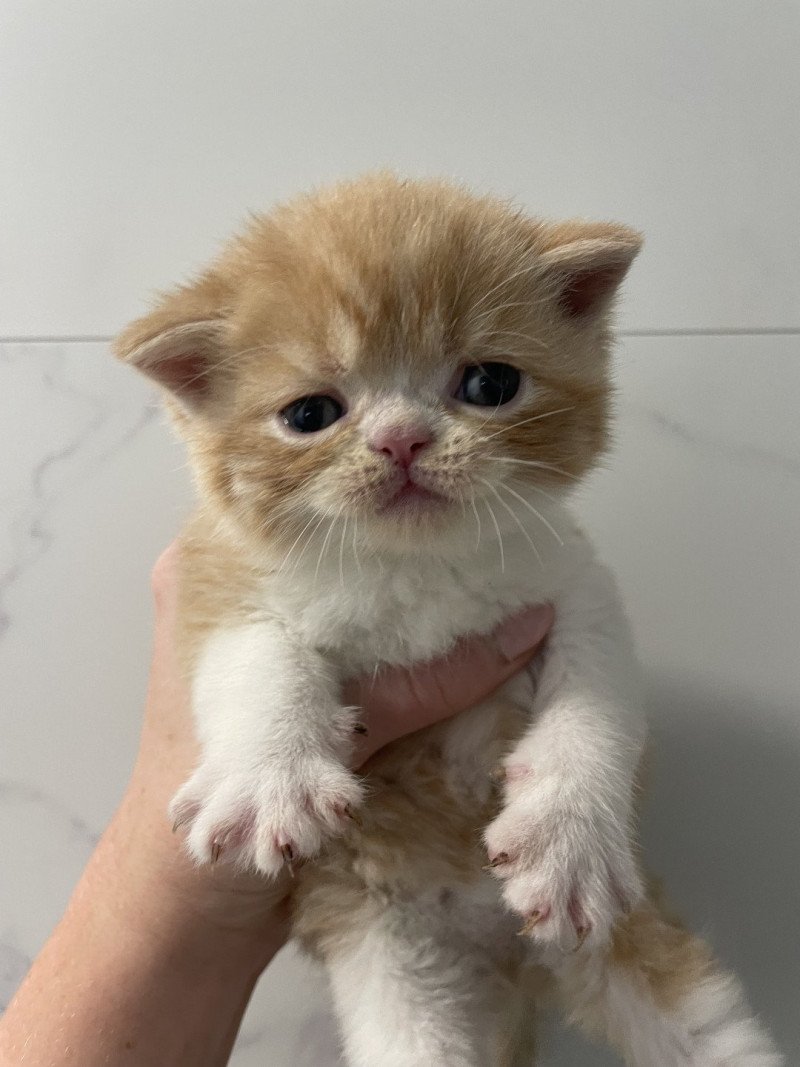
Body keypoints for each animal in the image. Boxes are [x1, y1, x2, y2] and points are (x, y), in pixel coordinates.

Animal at [115, 174, 780, 1067]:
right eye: (310, 413)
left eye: (490, 384)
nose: (401, 438)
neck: (415, 566)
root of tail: (507, 956)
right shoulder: (219, 576)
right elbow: (255, 653)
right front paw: (270, 776)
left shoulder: (573, 582)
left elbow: (599, 697)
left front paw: (568, 830)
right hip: (393, 955)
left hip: (633, 945)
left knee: (712, 1030)